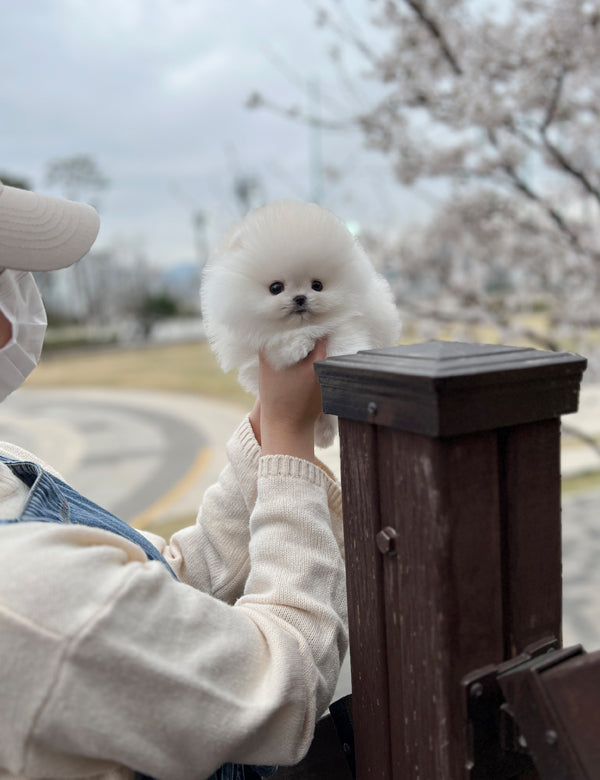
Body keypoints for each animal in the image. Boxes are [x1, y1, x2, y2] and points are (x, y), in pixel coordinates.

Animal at [199, 198, 400, 448]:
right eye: (276, 287)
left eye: (317, 285)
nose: (300, 298)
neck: (306, 326)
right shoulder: (259, 347)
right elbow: (279, 343)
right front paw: (296, 346)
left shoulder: (348, 322)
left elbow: (344, 338)